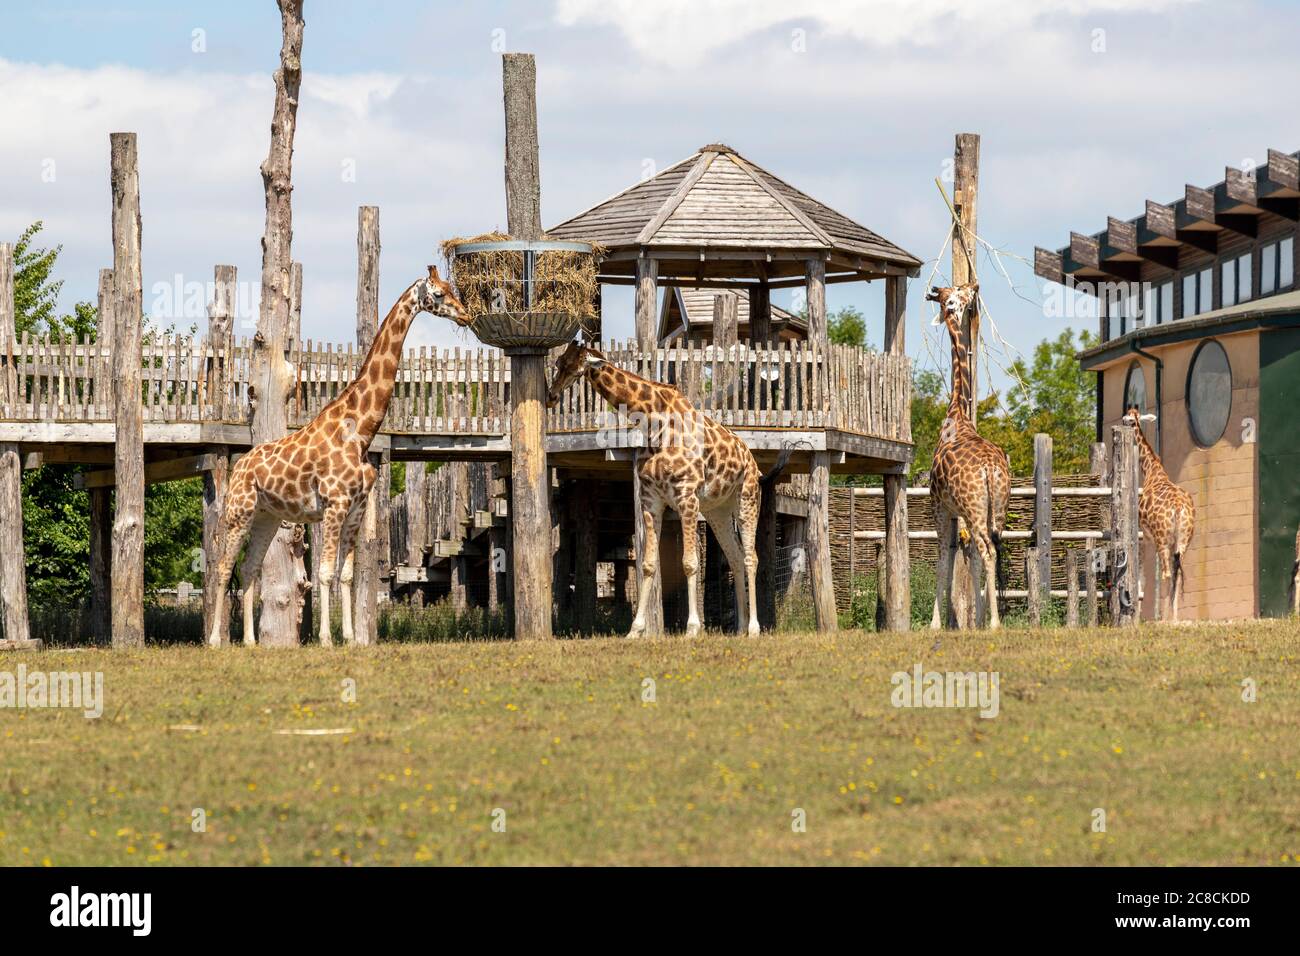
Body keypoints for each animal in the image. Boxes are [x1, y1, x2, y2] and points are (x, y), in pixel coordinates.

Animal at [210, 265, 475, 647]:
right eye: (439, 294)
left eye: (452, 289)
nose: (466, 315)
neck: (361, 430)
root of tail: (240, 464)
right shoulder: (334, 504)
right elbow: (323, 574)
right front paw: (326, 638)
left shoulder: (357, 509)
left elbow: (346, 575)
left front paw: (351, 638)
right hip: (238, 511)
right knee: (221, 567)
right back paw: (215, 640)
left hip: (266, 516)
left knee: (249, 568)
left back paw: (249, 641)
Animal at [543, 340, 785, 639]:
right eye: (558, 362)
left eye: (571, 365)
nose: (551, 396)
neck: (653, 420)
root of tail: (752, 461)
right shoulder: (651, 500)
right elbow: (648, 565)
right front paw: (635, 630)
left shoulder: (686, 496)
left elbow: (690, 563)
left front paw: (692, 628)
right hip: (717, 512)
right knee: (736, 558)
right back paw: (739, 627)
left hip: (747, 499)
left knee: (752, 558)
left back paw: (753, 628)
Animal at [925, 283, 1013, 629]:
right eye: (958, 293)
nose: (974, 286)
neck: (957, 412)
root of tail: (990, 469)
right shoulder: (962, 512)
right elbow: (968, 560)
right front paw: (973, 618)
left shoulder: (941, 507)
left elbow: (943, 558)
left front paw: (935, 623)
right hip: (996, 508)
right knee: (992, 549)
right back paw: (990, 618)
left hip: (975, 509)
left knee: (987, 550)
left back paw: (995, 624)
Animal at [1118, 403, 1196, 621]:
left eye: (1128, 419)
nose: (1123, 422)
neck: (1151, 469)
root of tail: (1179, 509)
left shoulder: (1144, 535)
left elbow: (1142, 577)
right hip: (1182, 541)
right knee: (1177, 573)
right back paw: (1174, 618)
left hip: (1162, 540)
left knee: (1167, 573)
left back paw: (1162, 618)